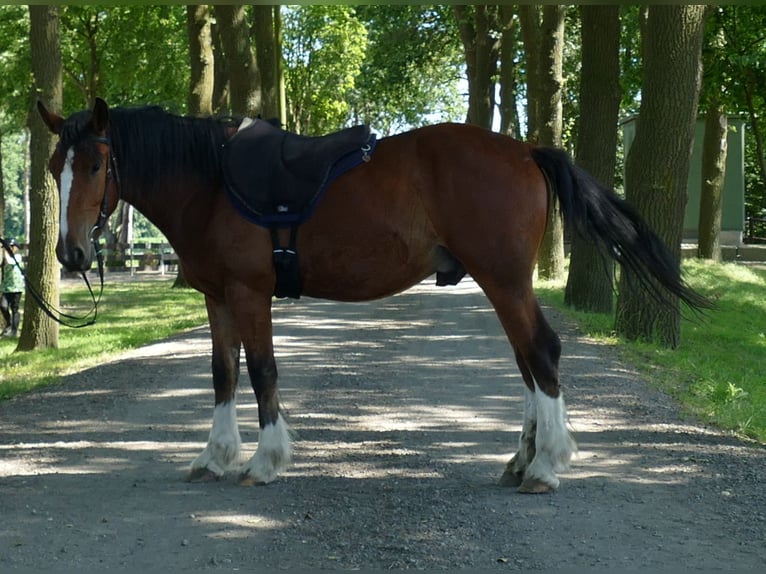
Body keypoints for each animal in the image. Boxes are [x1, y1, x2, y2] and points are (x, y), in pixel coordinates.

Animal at [37, 98, 708, 493]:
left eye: (94, 166)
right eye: (52, 167)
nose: (70, 256)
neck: (211, 184)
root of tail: (523, 149)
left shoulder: (251, 294)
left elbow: (261, 372)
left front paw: (264, 461)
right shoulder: (218, 298)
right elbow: (222, 373)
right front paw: (215, 455)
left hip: (505, 280)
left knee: (541, 354)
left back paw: (545, 466)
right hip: (502, 283)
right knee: (526, 362)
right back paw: (522, 460)